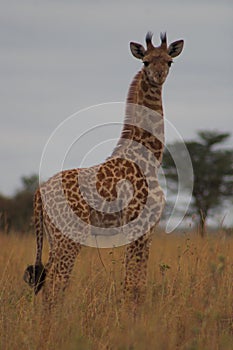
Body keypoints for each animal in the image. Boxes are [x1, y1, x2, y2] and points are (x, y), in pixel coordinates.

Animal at [23, 32, 184, 306]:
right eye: (146, 62)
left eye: (169, 61)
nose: (159, 75)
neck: (149, 158)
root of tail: (39, 193)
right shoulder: (139, 226)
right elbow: (133, 286)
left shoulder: (147, 230)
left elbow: (137, 284)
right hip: (69, 237)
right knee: (56, 285)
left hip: (53, 237)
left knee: (47, 284)